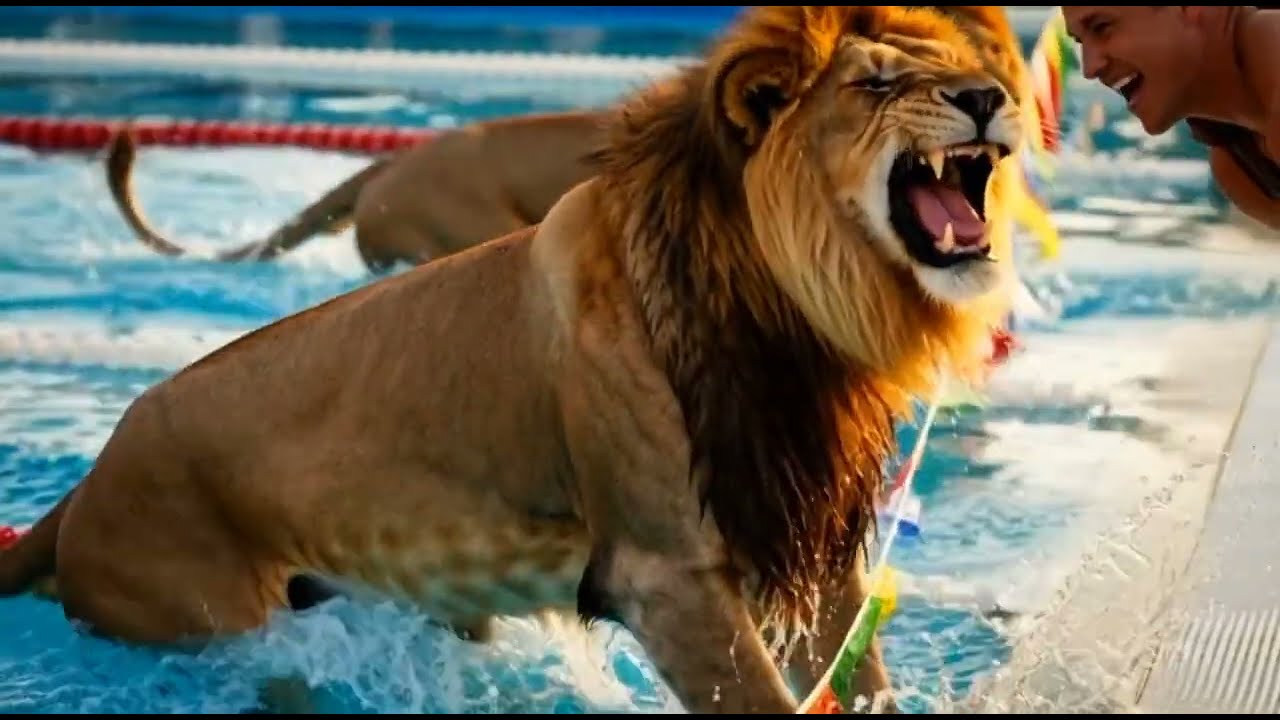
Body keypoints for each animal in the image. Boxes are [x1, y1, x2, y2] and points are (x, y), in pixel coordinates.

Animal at [2, 5, 1025, 713]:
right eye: (876, 87)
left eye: (965, 71)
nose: (990, 100)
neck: (792, 302)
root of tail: (82, 494)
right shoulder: (665, 575)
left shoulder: (808, 546)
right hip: (224, 627)